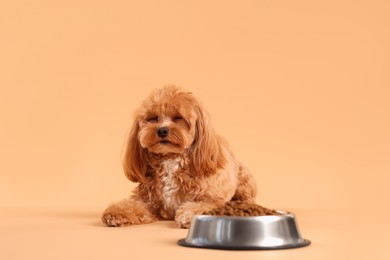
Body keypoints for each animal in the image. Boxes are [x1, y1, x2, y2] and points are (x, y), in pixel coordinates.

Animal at [102, 85, 258, 228]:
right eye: (153, 118)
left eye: (178, 117)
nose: (162, 130)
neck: (170, 159)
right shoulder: (147, 200)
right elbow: (133, 205)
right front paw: (116, 212)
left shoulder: (211, 199)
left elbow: (205, 205)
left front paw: (189, 215)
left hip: (245, 179)